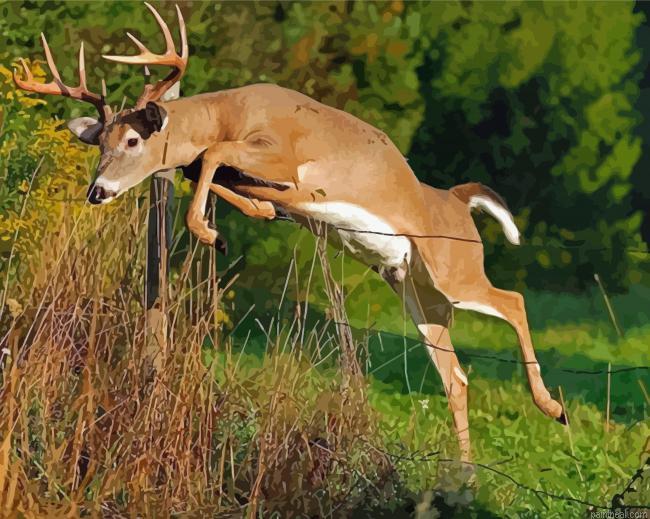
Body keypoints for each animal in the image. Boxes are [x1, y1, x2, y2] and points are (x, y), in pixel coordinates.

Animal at [13, 3, 566, 462]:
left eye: (131, 140)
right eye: (99, 142)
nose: (97, 191)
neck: (226, 113)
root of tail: (457, 199)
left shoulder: (286, 159)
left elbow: (212, 157)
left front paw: (210, 232)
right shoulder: (266, 181)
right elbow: (220, 177)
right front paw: (235, 222)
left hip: (454, 270)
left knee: (514, 300)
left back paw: (552, 408)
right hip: (417, 289)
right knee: (456, 378)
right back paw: (466, 476)